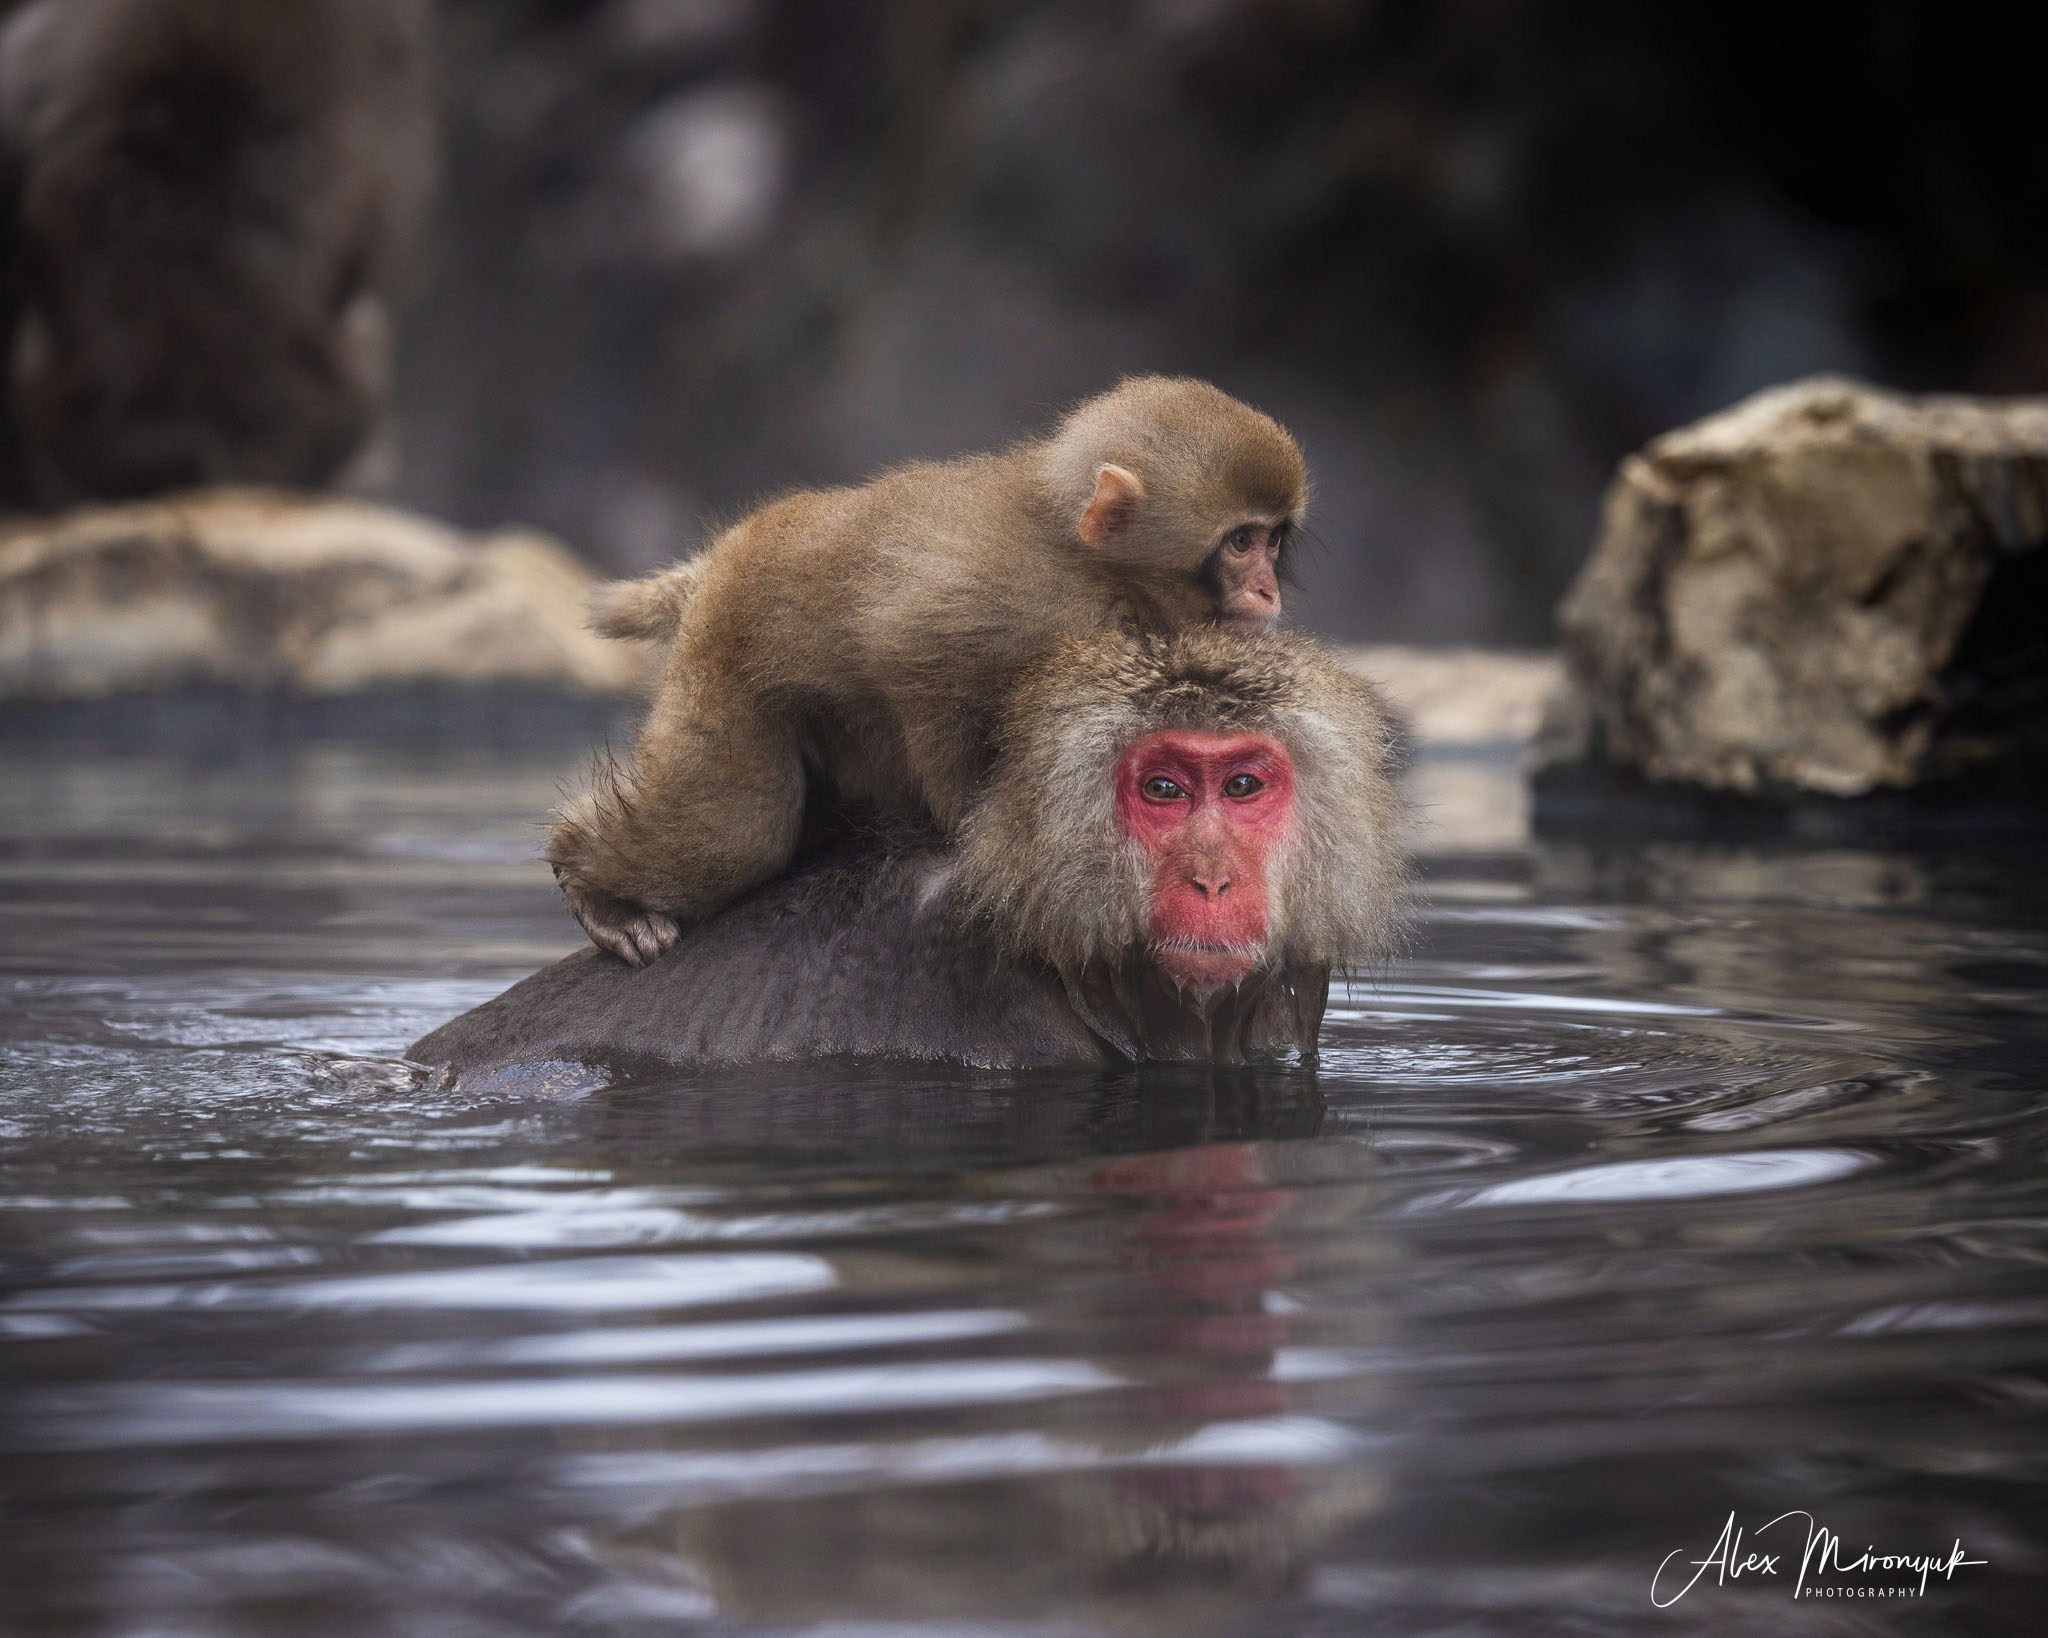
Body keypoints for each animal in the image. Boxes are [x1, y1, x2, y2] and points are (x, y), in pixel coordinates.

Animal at [547, 376, 1311, 966]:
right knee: (733, 831)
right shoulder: (1020, 602)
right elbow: (912, 655)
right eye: (1240, 542)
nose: (1268, 591)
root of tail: (717, 563)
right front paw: (964, 822)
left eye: (1273, 541)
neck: (1094, 565)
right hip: (721, 657)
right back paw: (590, 882)